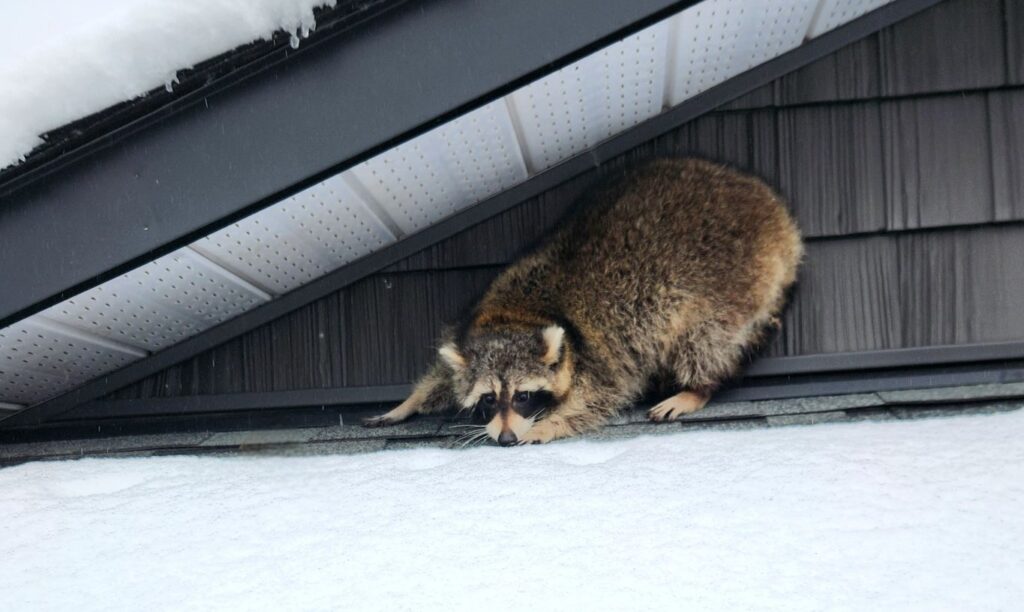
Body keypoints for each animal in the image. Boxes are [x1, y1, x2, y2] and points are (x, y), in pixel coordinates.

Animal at [363, 158, 803, 445]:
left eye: (523, 396)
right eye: (488, 399)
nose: (505, 439)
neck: (515, 315)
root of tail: (778, 217)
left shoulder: (600, 356)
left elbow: (596, 398)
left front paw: (546, 425)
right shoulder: (469, 324)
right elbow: (440, 376)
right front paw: (408, 402)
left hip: (730, 278)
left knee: (706, 339)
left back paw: (698, 387)